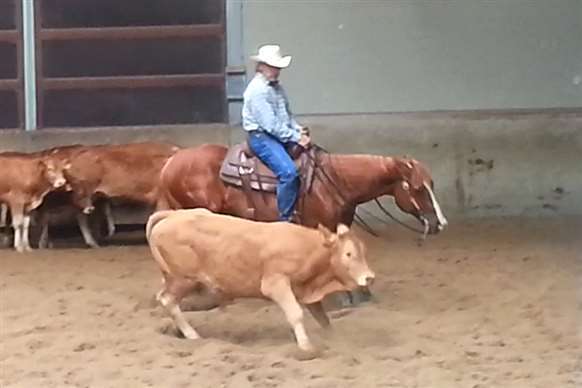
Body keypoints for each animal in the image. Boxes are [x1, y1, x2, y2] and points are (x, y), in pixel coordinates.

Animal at [145, 209, 374, 354]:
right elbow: (295, 314)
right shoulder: (276, 284)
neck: (309, 249)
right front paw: (306, 347)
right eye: (348, 254)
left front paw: (335, 340)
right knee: (167, 300)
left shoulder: (307, 290)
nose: (369, 277)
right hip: (184, 279)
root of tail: (173, 215)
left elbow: (323, 319)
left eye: (363, 251)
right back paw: (192, 335)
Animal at [155, 144, 448, 310]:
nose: (440, 223)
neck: (333, 182)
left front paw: (362, 293)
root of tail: (171, 161)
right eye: (418, 188)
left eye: (432, 184)